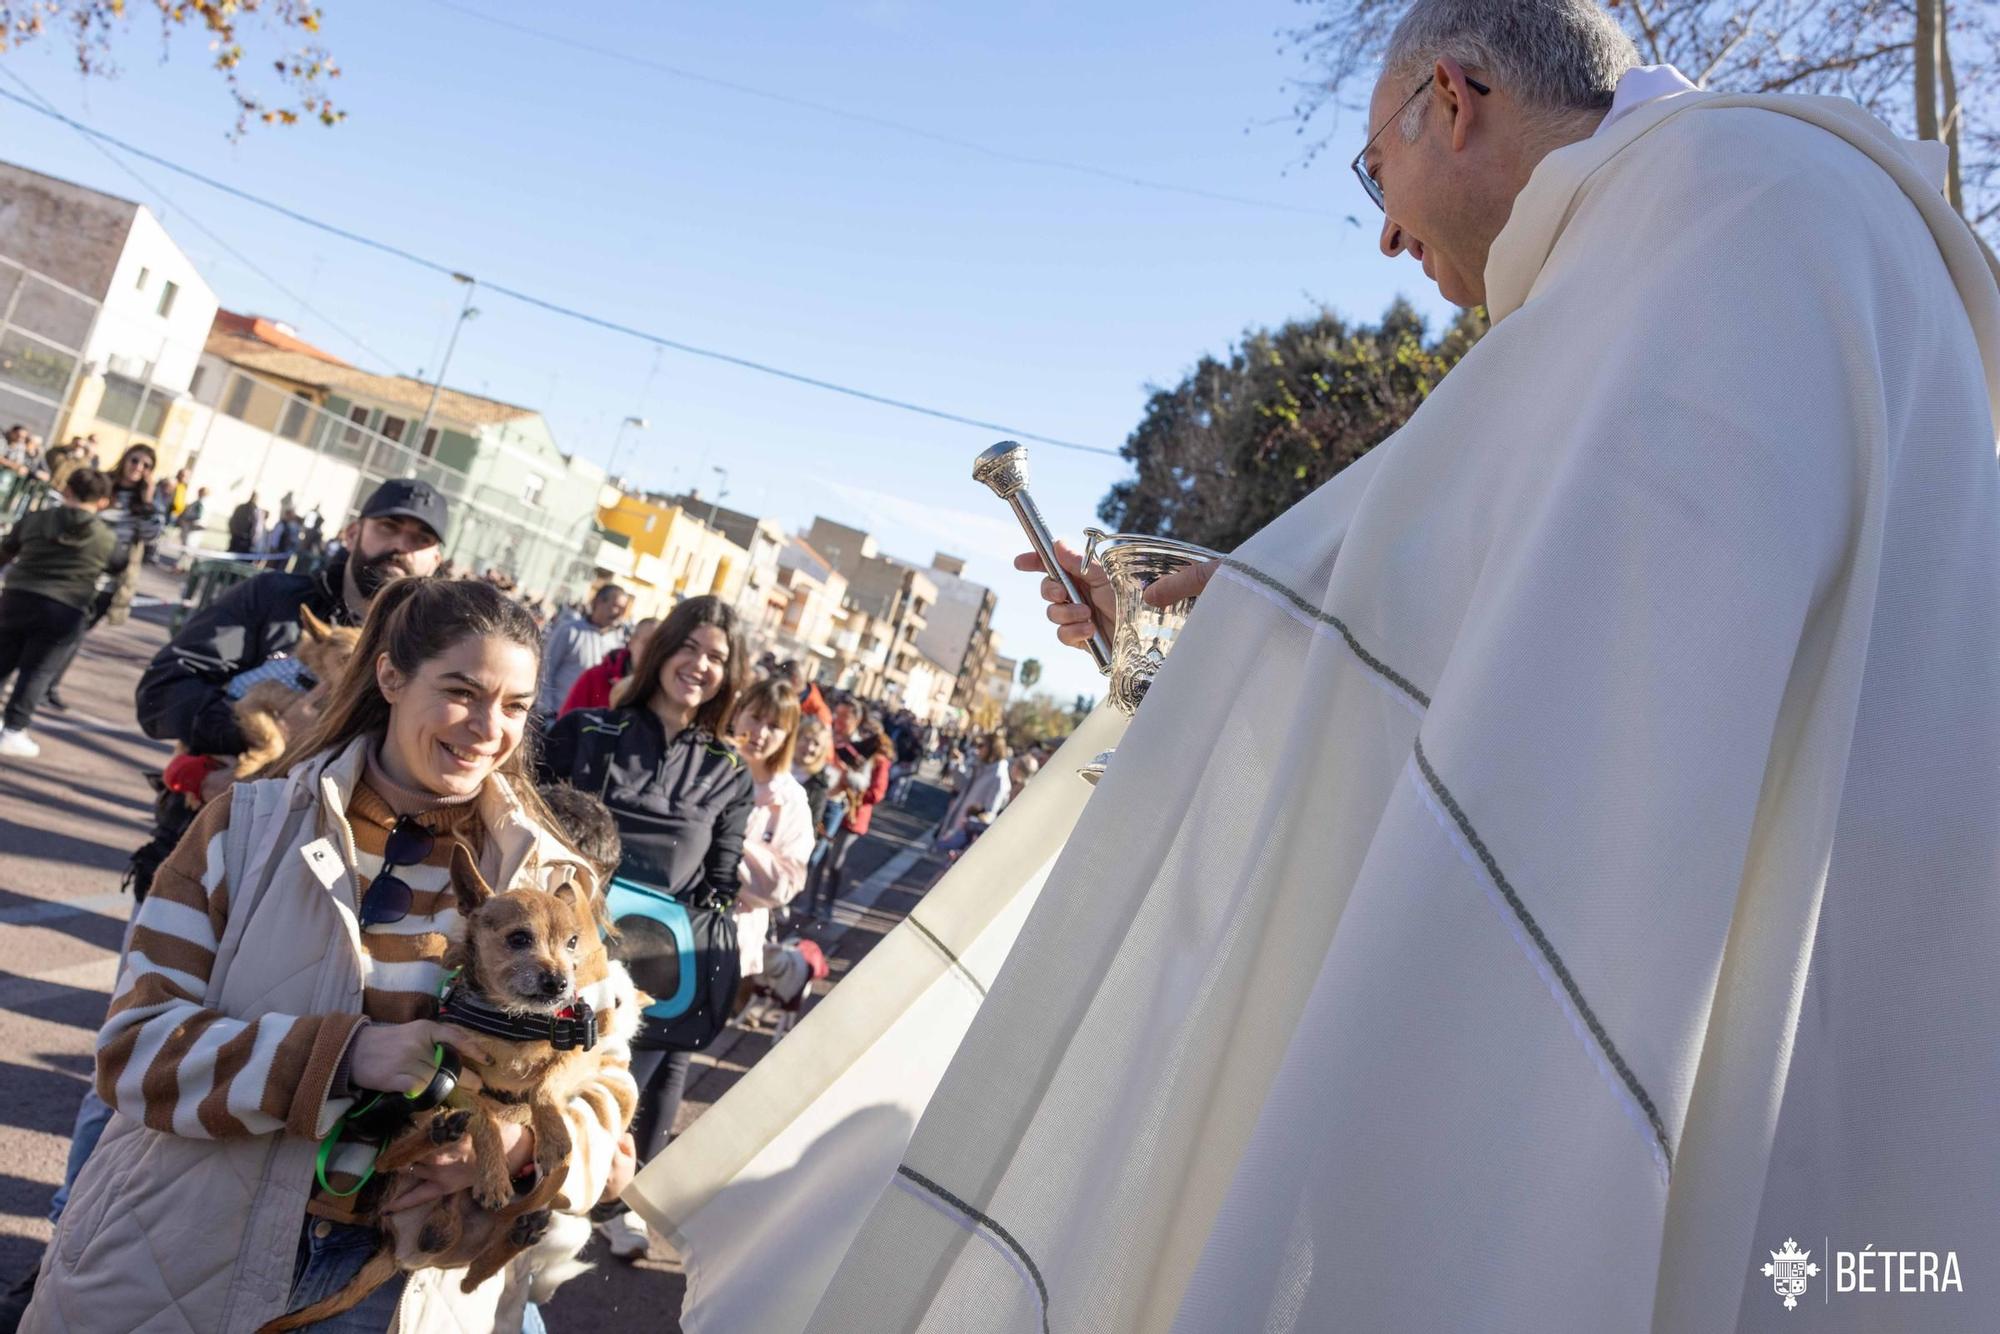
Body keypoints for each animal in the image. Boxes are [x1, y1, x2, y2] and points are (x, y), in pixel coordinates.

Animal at [254, 880, 636, 1328]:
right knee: (389, 1161)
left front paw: (553, 1134)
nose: (560, 982)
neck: (513, 1024)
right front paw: (492, 1172)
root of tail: (399, 1253)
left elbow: (545, 1087)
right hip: (411, 1132)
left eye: (573, 942)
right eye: (519, 939)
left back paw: (520, 1228)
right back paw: (441, 1134)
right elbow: (485, 1115)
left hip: (485, 1234)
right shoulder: (453, 1066)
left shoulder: (581, 1053)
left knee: (477, 1273)